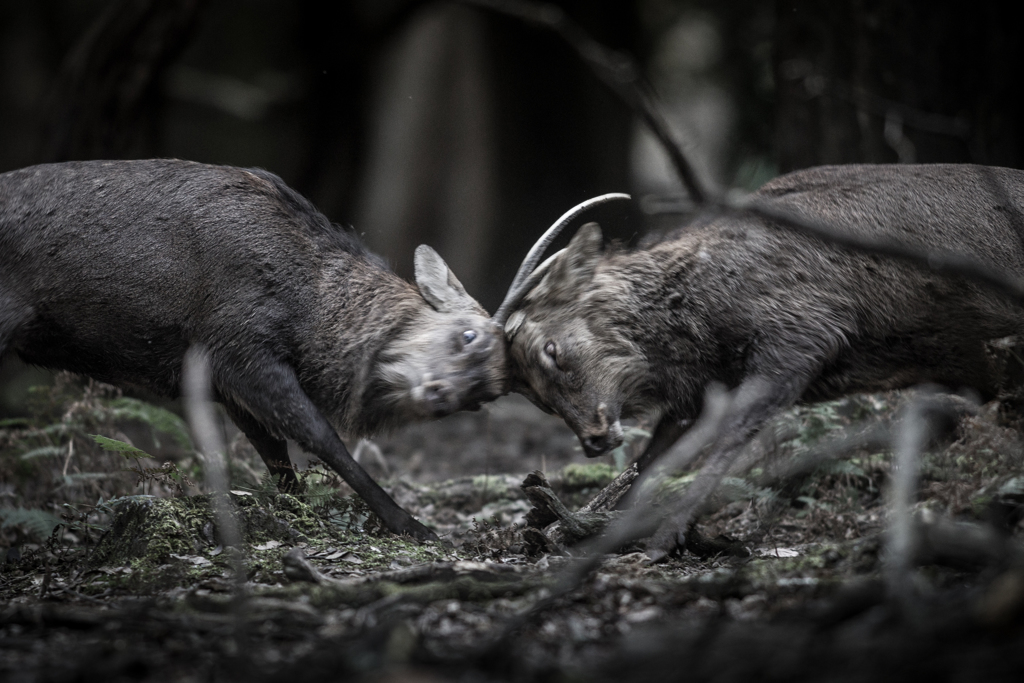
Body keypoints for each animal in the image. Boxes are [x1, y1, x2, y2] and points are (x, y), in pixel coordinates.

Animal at [491, 162, 1024, 557]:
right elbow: (648, 463)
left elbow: (726, 441)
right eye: (531, 394)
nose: (594, 439)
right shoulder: (702, 391)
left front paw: (665, 539)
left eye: (552, 349)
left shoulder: (804, 336)